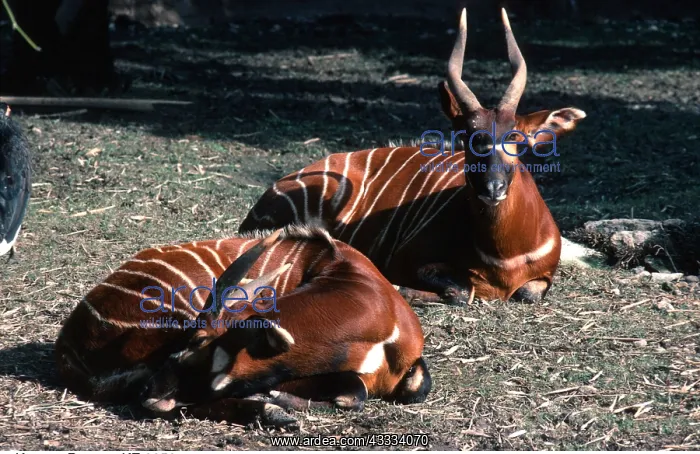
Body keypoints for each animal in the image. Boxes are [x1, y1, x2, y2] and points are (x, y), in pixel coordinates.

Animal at [239, 9, 586, 306]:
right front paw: (401, 289)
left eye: (514, 137)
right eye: (466, 137)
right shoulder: (409, 259)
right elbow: (462, 292)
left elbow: (527, 293)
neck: (505, 257)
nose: (493, 188)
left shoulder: (542, 277)